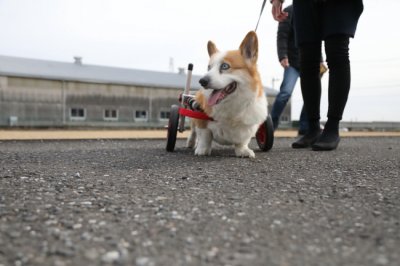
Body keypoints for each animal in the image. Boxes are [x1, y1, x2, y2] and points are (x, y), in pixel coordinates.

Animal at [188, 30, 268, 158]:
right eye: (209, 68)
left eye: (225, 66)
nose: (202, 81)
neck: (231, 104)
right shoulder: (201, 120)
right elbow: (205, 136)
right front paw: (202, 149)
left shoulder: (249, 126)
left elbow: (242, 141)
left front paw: (243, 151)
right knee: (193, 130)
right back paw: (191, 143)